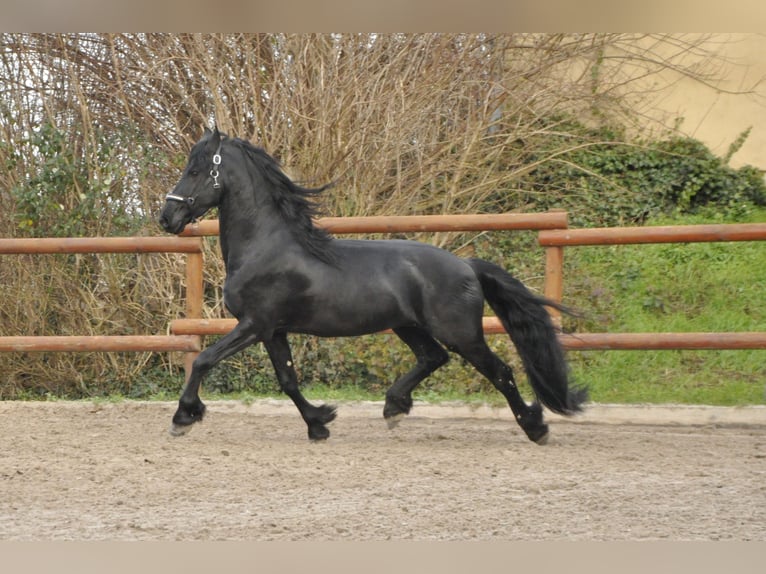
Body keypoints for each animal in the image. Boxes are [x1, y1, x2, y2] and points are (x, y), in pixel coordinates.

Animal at [159, 127, 587, 444]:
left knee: (499, 371)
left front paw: (183, 417)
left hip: (460, 333)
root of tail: (466, 265)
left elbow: (203, 359)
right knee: (433, 358)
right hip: (409, 327)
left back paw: (536, 428)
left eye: (195, 171)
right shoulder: (273, 330)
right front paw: (320, 422)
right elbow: (288, 380)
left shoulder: (254, 324)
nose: (167, 217)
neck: (265, 246)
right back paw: (394, 408)